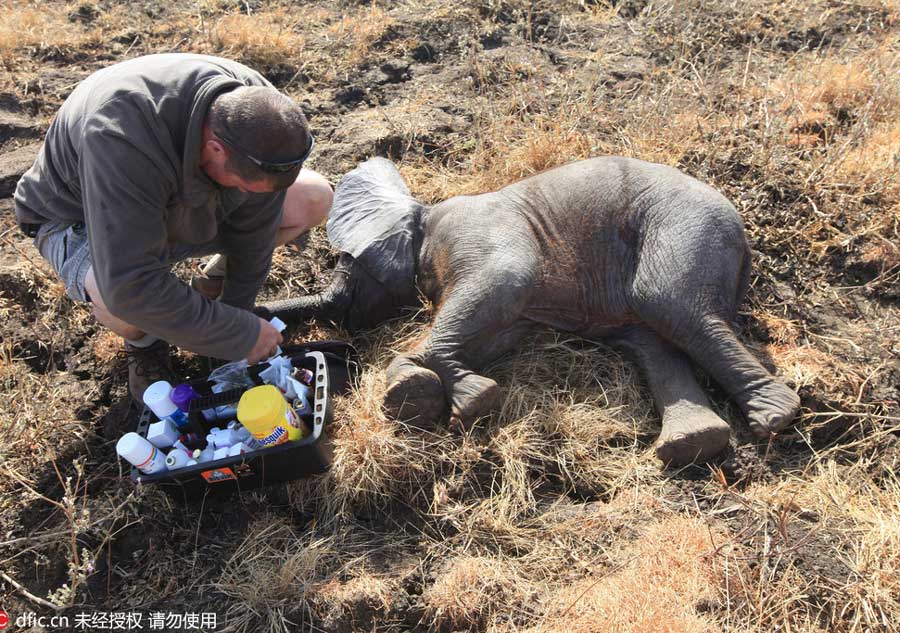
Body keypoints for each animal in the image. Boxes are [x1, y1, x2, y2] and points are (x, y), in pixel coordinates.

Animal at [258, 157, 800, 464]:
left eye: (344, 264)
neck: (423, 213)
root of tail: (744, 238)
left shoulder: (474, 236)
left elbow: (503, 282)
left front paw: (428, 391)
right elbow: (488, 331)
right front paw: (447, 393)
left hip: (684, 224)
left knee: (668, 304)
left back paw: (774, 416)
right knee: (654, 339)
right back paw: (694, 444)